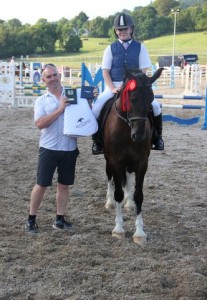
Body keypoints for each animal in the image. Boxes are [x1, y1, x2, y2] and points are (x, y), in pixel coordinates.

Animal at [101, 68, 163, 246]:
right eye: (132, 99)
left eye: (151, 99)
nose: (140, 135)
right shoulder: (115, 160)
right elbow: (118, 193)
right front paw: (118, 229)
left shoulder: (142, 162)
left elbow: (138, 195)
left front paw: (140, 232)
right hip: (108, 159)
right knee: (110, 178)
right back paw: (109, 202)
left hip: (130, 161)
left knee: (127, 176)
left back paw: (129, 204)